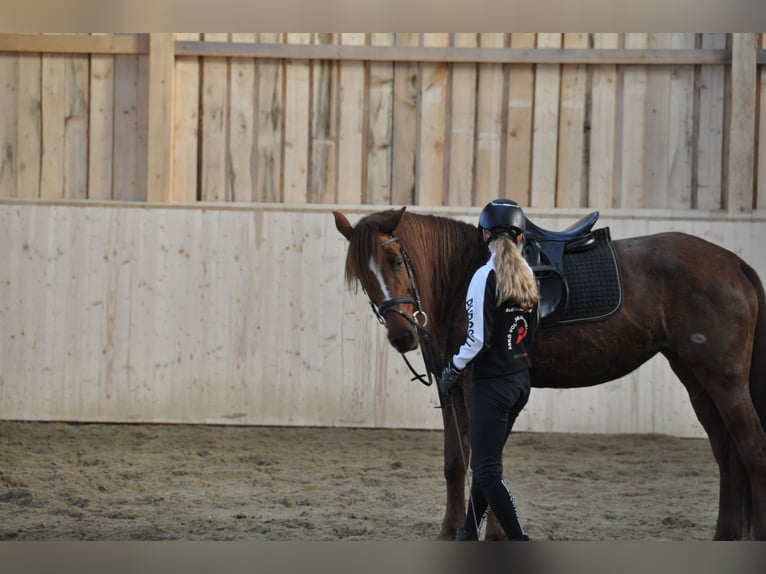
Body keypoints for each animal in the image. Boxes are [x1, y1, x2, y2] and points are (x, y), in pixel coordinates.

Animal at [332, 206, 766, 541]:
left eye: (394, 260)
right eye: (363, 277)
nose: (403, 335)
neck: (460, 278)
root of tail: (734, 263)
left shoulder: (475, 386)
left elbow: (482, 461)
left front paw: (493, 533)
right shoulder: (449, 386)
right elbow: (455, 462)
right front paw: (451, 530)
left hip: (725, 381)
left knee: (752, 450)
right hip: (697, 380)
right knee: (726, 454)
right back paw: (725, 533)